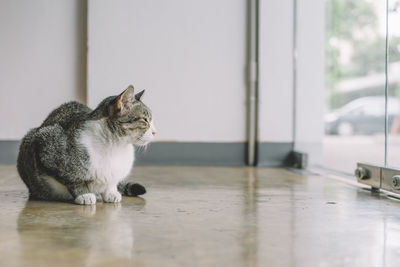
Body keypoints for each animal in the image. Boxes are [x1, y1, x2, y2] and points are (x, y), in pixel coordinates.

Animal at [16, 85, 156, 205]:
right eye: (145, 120)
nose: (155, 132)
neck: (115, 146)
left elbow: (112, 181)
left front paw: (111, 192)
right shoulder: (44, 145)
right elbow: (72, 180)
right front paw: (83, 194)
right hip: (29, 141)